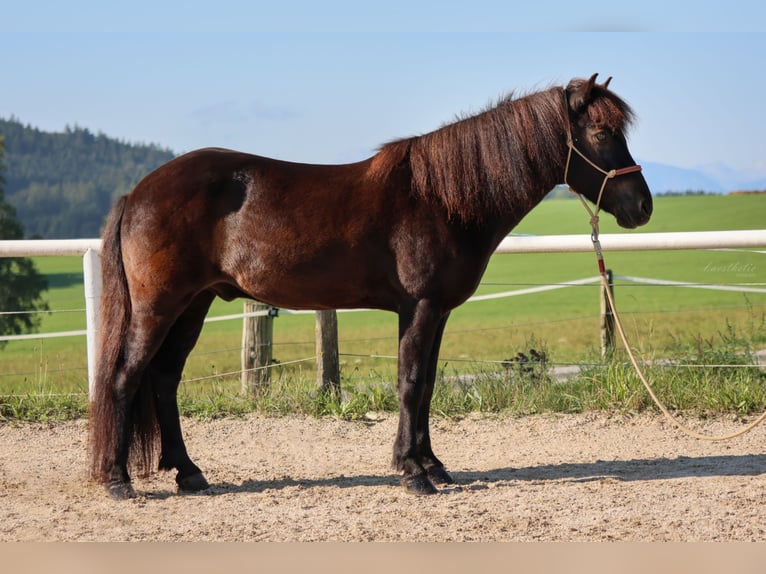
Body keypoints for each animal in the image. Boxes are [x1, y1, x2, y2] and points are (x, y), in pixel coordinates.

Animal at [90, 74, 656, 502]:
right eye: (601, 133)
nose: (642, 206)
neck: (441, 198)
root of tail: (139, 191)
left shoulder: (437, 311)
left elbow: (426, 386)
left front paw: (433, 464)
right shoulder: (420, 307)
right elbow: (410, 384)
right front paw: (414, 474)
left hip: (194, 304)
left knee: (163, 380)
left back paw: (190, 474)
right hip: (159, 307)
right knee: (124, 377)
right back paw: (119, 481)